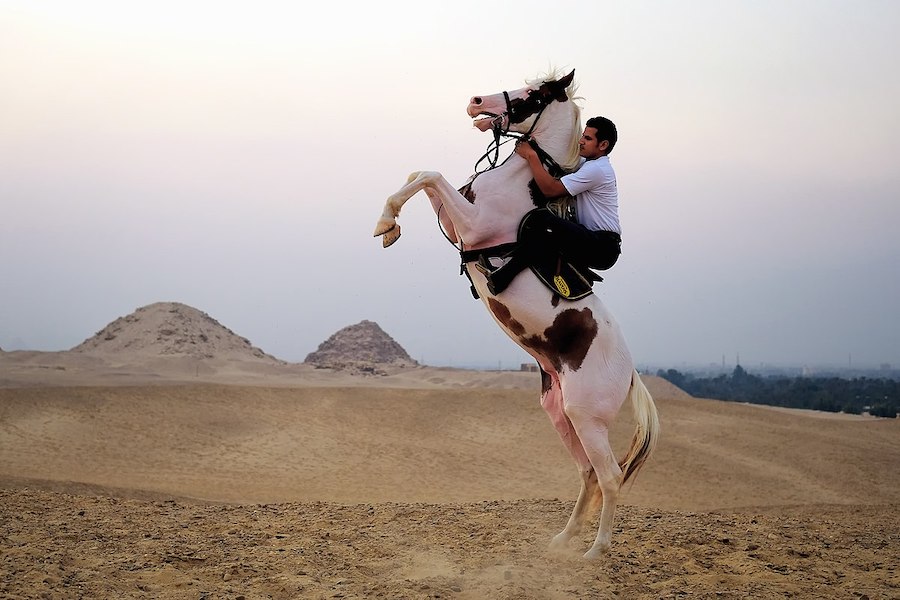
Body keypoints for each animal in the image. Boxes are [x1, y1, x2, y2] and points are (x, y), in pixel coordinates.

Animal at [372, 69, 660, 556]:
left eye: (533, 94)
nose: (474, 101)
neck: (517, 184)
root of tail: (632, 372)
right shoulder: (454, 220)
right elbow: (422, 175)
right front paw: (390, 227)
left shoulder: (472, 225)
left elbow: (430, 174)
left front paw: (384, 221)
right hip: (560, 414)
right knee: (587, 473)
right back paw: (562, 540)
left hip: (588, 419)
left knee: (610, 477)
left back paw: (595, 551)